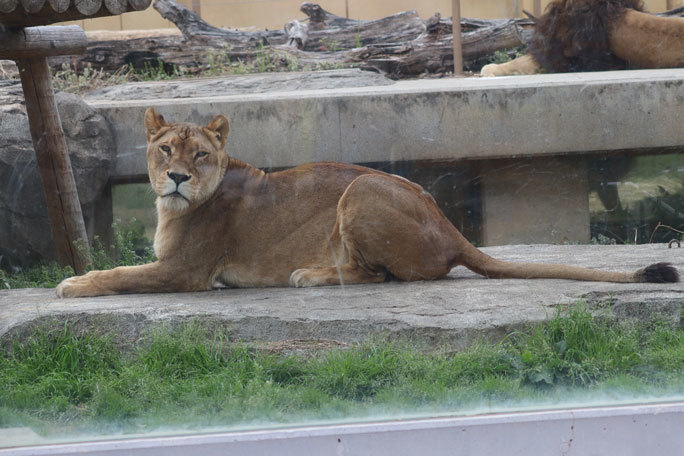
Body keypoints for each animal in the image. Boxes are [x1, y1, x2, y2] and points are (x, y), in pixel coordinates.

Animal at [54, 108, 680, 300]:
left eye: (200, 154)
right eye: (165, 149)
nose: (179, 177)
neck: (176, 208)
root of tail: (452, 227)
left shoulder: (185, 272)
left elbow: (119, 275)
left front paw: (72, 284)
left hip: (358, 193)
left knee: (380, 276)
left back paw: (309, 274)